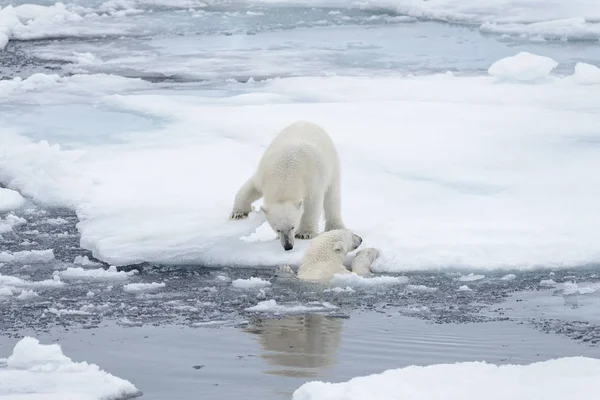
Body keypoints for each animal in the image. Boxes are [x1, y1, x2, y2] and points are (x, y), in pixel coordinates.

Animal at [230, 120, 344, 250]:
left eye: (293, 227)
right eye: (278, 229)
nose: (288, 246)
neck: (286, 171)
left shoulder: (312, 179)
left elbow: (312, 203)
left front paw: (305, 233)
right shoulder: (264, 174)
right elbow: (250, 188)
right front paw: (238, 213)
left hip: (332, 164)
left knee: (332, 197)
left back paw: (335, 226)